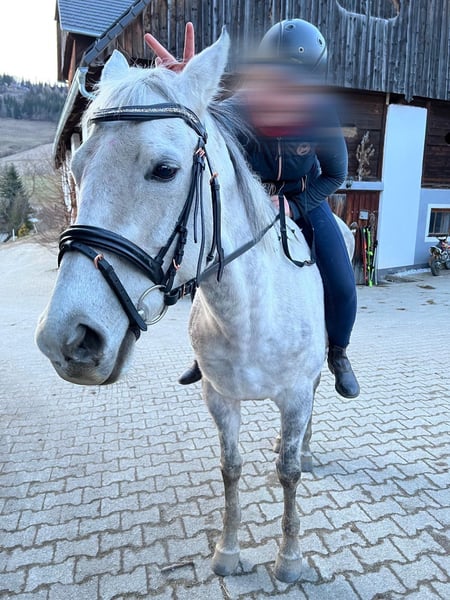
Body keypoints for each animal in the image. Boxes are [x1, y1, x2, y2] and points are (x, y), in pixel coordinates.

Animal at [36, 31, 352, 583]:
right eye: (78, 167)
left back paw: (308, 448)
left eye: (165, 170)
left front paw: (289, 559)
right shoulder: (218, 399)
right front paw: (228, 552)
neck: (249, 314)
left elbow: (288, 473)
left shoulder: (294, 396)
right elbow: (231, 469)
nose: (67, 338)